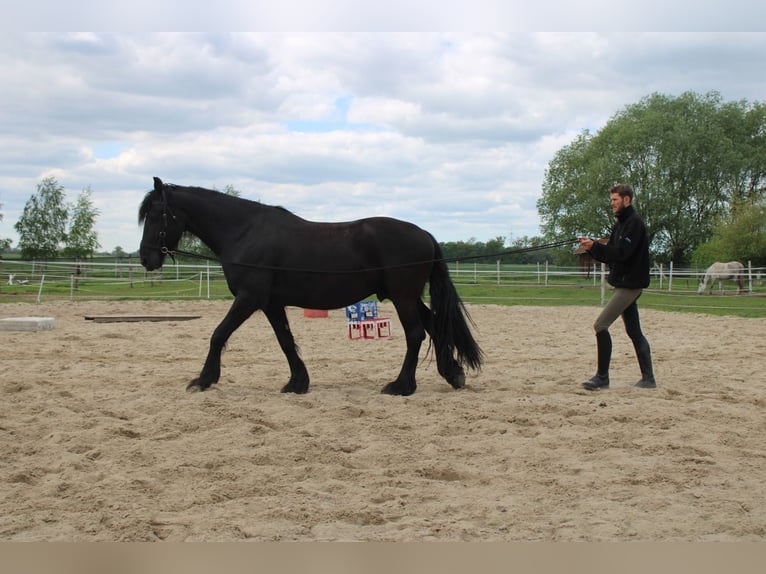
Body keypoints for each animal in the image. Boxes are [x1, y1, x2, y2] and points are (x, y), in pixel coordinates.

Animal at [139, 177, 483, 396]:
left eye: (156, 214)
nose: (146, 258)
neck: (245, 231)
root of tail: (424, 233)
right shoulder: (271, 303)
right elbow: (285, 341)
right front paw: (297, 382)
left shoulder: (249, 299)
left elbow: (218, 333)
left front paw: (204, 379)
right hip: (407, 297)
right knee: (434, 327)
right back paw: (452, 373)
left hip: (402, 297)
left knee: (415, 334)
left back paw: (401, 386)